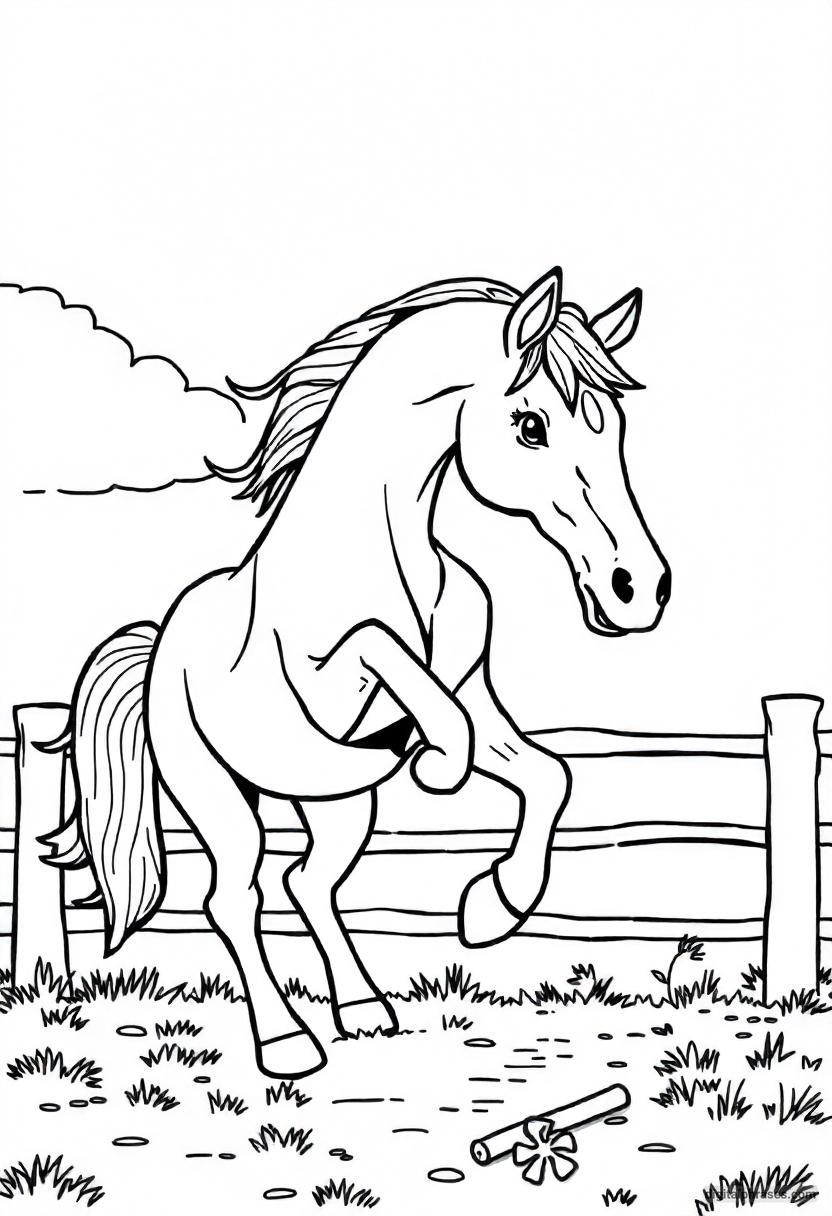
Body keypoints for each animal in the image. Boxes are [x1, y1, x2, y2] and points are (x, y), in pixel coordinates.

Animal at [43, 265, 670, 1079]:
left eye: (614, 426)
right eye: (531, 425)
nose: (639, 590)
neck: (384, 556)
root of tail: (156, 650)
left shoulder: (472, 694)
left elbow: (548, 774)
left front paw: (491, 908)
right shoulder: (334, 683)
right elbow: (393, 662)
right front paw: (438, 770)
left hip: (337, 804)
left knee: (304, 881)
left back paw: (366, 1011)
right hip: (216, 794)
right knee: (235, 897)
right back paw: (287, 1045)